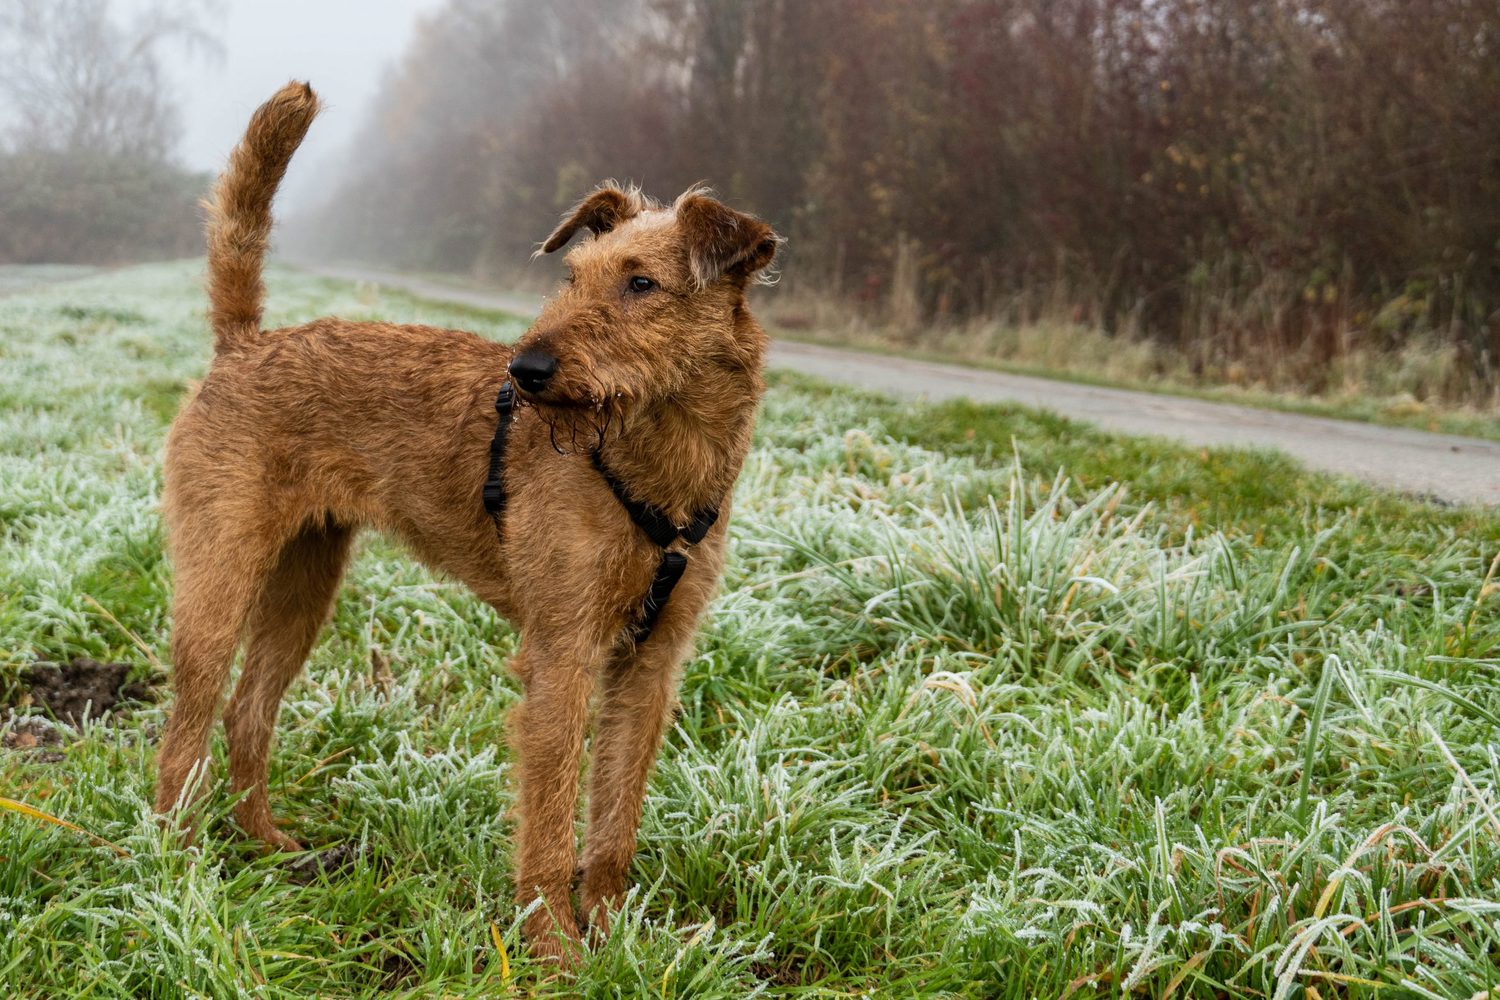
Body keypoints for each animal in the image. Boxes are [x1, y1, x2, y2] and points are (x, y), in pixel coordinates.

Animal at [153, 82, 780, 959]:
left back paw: (265, 844)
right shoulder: (562, 655)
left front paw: (617, 935)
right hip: (219, 581)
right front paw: (557, 952)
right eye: (573, 275)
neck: (656, 467)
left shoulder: (650, 667)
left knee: (249, 712)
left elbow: (615, 817)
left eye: (642, 284)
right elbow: (549, 821)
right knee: (186, 731)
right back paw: (178, 875)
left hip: (306, 583)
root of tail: (244, 344)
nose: (528, 368)